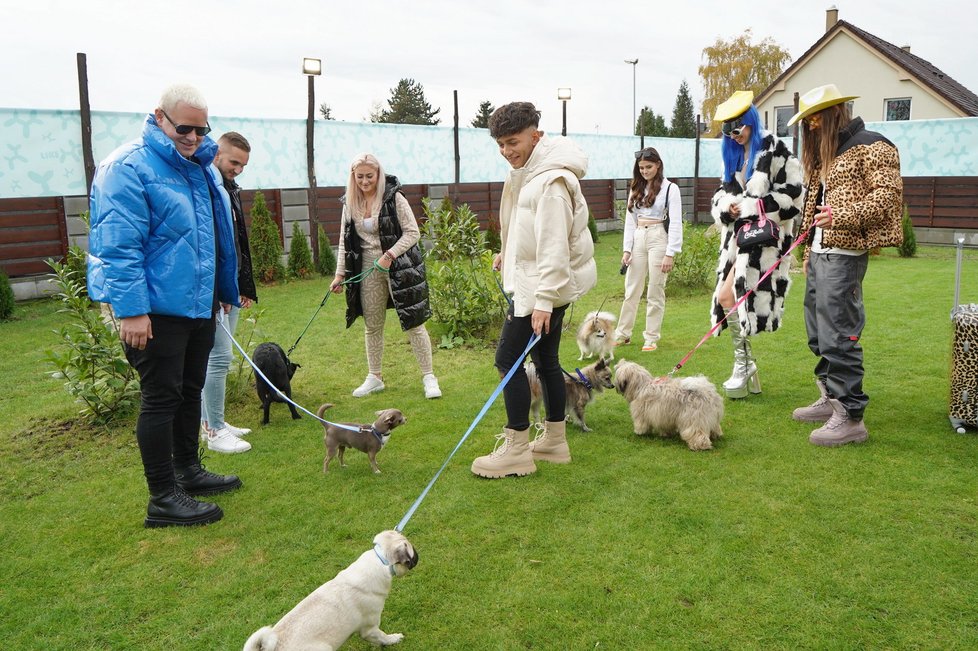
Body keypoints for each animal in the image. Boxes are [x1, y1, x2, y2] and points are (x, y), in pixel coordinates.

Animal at [242, 528, 418, 651]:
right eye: (411, 551)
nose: (417, 555)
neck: (380, 560)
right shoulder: (370, 629)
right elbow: (382, 637)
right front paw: (394, 639)